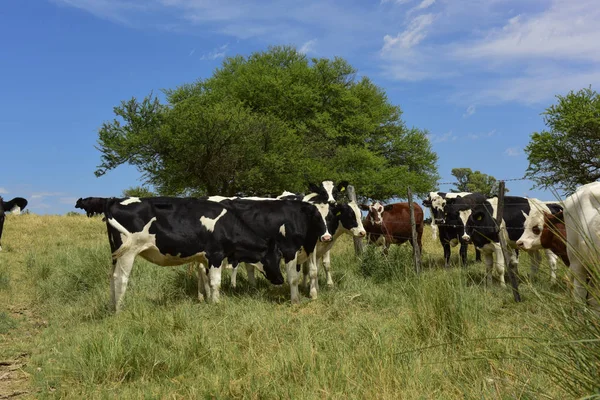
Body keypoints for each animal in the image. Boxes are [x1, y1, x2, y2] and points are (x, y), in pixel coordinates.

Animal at [104, 197, 284, 312]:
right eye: (275, 257)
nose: (281, 280)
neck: (227, 225)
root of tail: (115, 201)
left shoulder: (204, 258)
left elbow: (207, 280)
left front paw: (209, 301)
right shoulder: (216, 255)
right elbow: (216, 282)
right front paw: (217, 304)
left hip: (115, 253)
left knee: (112, 277)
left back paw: (112, 308)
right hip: (128, 252)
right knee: (121, 279)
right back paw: (119, 310)